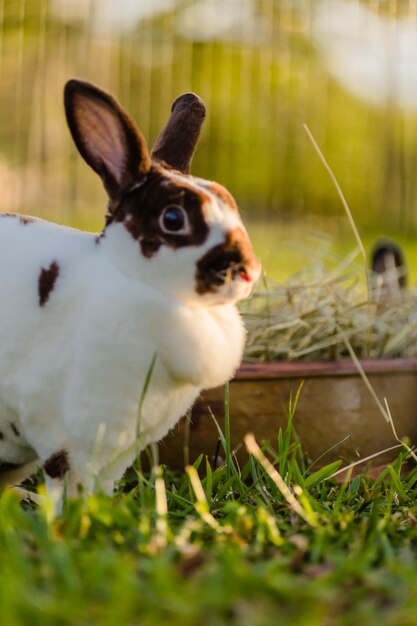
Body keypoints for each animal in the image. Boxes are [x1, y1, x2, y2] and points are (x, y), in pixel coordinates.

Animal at [0, 79, 260, 498]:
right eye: (173, 218)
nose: (249, 272)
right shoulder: (66, 434)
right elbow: (63, 485)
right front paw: (67, 515)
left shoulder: (120, 449)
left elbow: (100, 487)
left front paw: (102, 508)